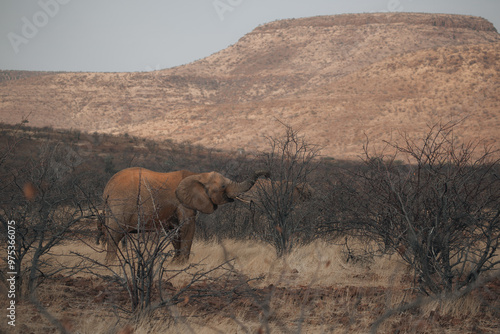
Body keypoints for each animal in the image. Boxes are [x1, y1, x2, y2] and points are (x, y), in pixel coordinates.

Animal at [97, 167, 270, 264]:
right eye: (222, 186)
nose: (268, 175)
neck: (198, 175)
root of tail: (107, 188)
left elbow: (176, 231)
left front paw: (174, 262)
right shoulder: (183, 203)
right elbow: (187, 227)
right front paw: (182, 263)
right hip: (121, 204)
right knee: (115, 235)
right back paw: (111, 264)